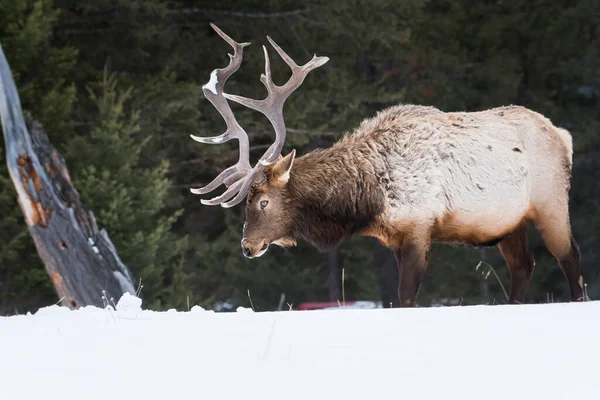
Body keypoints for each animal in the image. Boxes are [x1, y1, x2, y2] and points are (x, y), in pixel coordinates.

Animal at [190, 24, 584, 306]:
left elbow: (406, 297)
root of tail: (563, 136)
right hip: (508, 222)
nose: (248, 246)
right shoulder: (395, 238)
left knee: (570, 259)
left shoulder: (420, 226)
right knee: (524, 267)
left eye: (263, 201)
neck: (369, 196)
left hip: (550, 202)